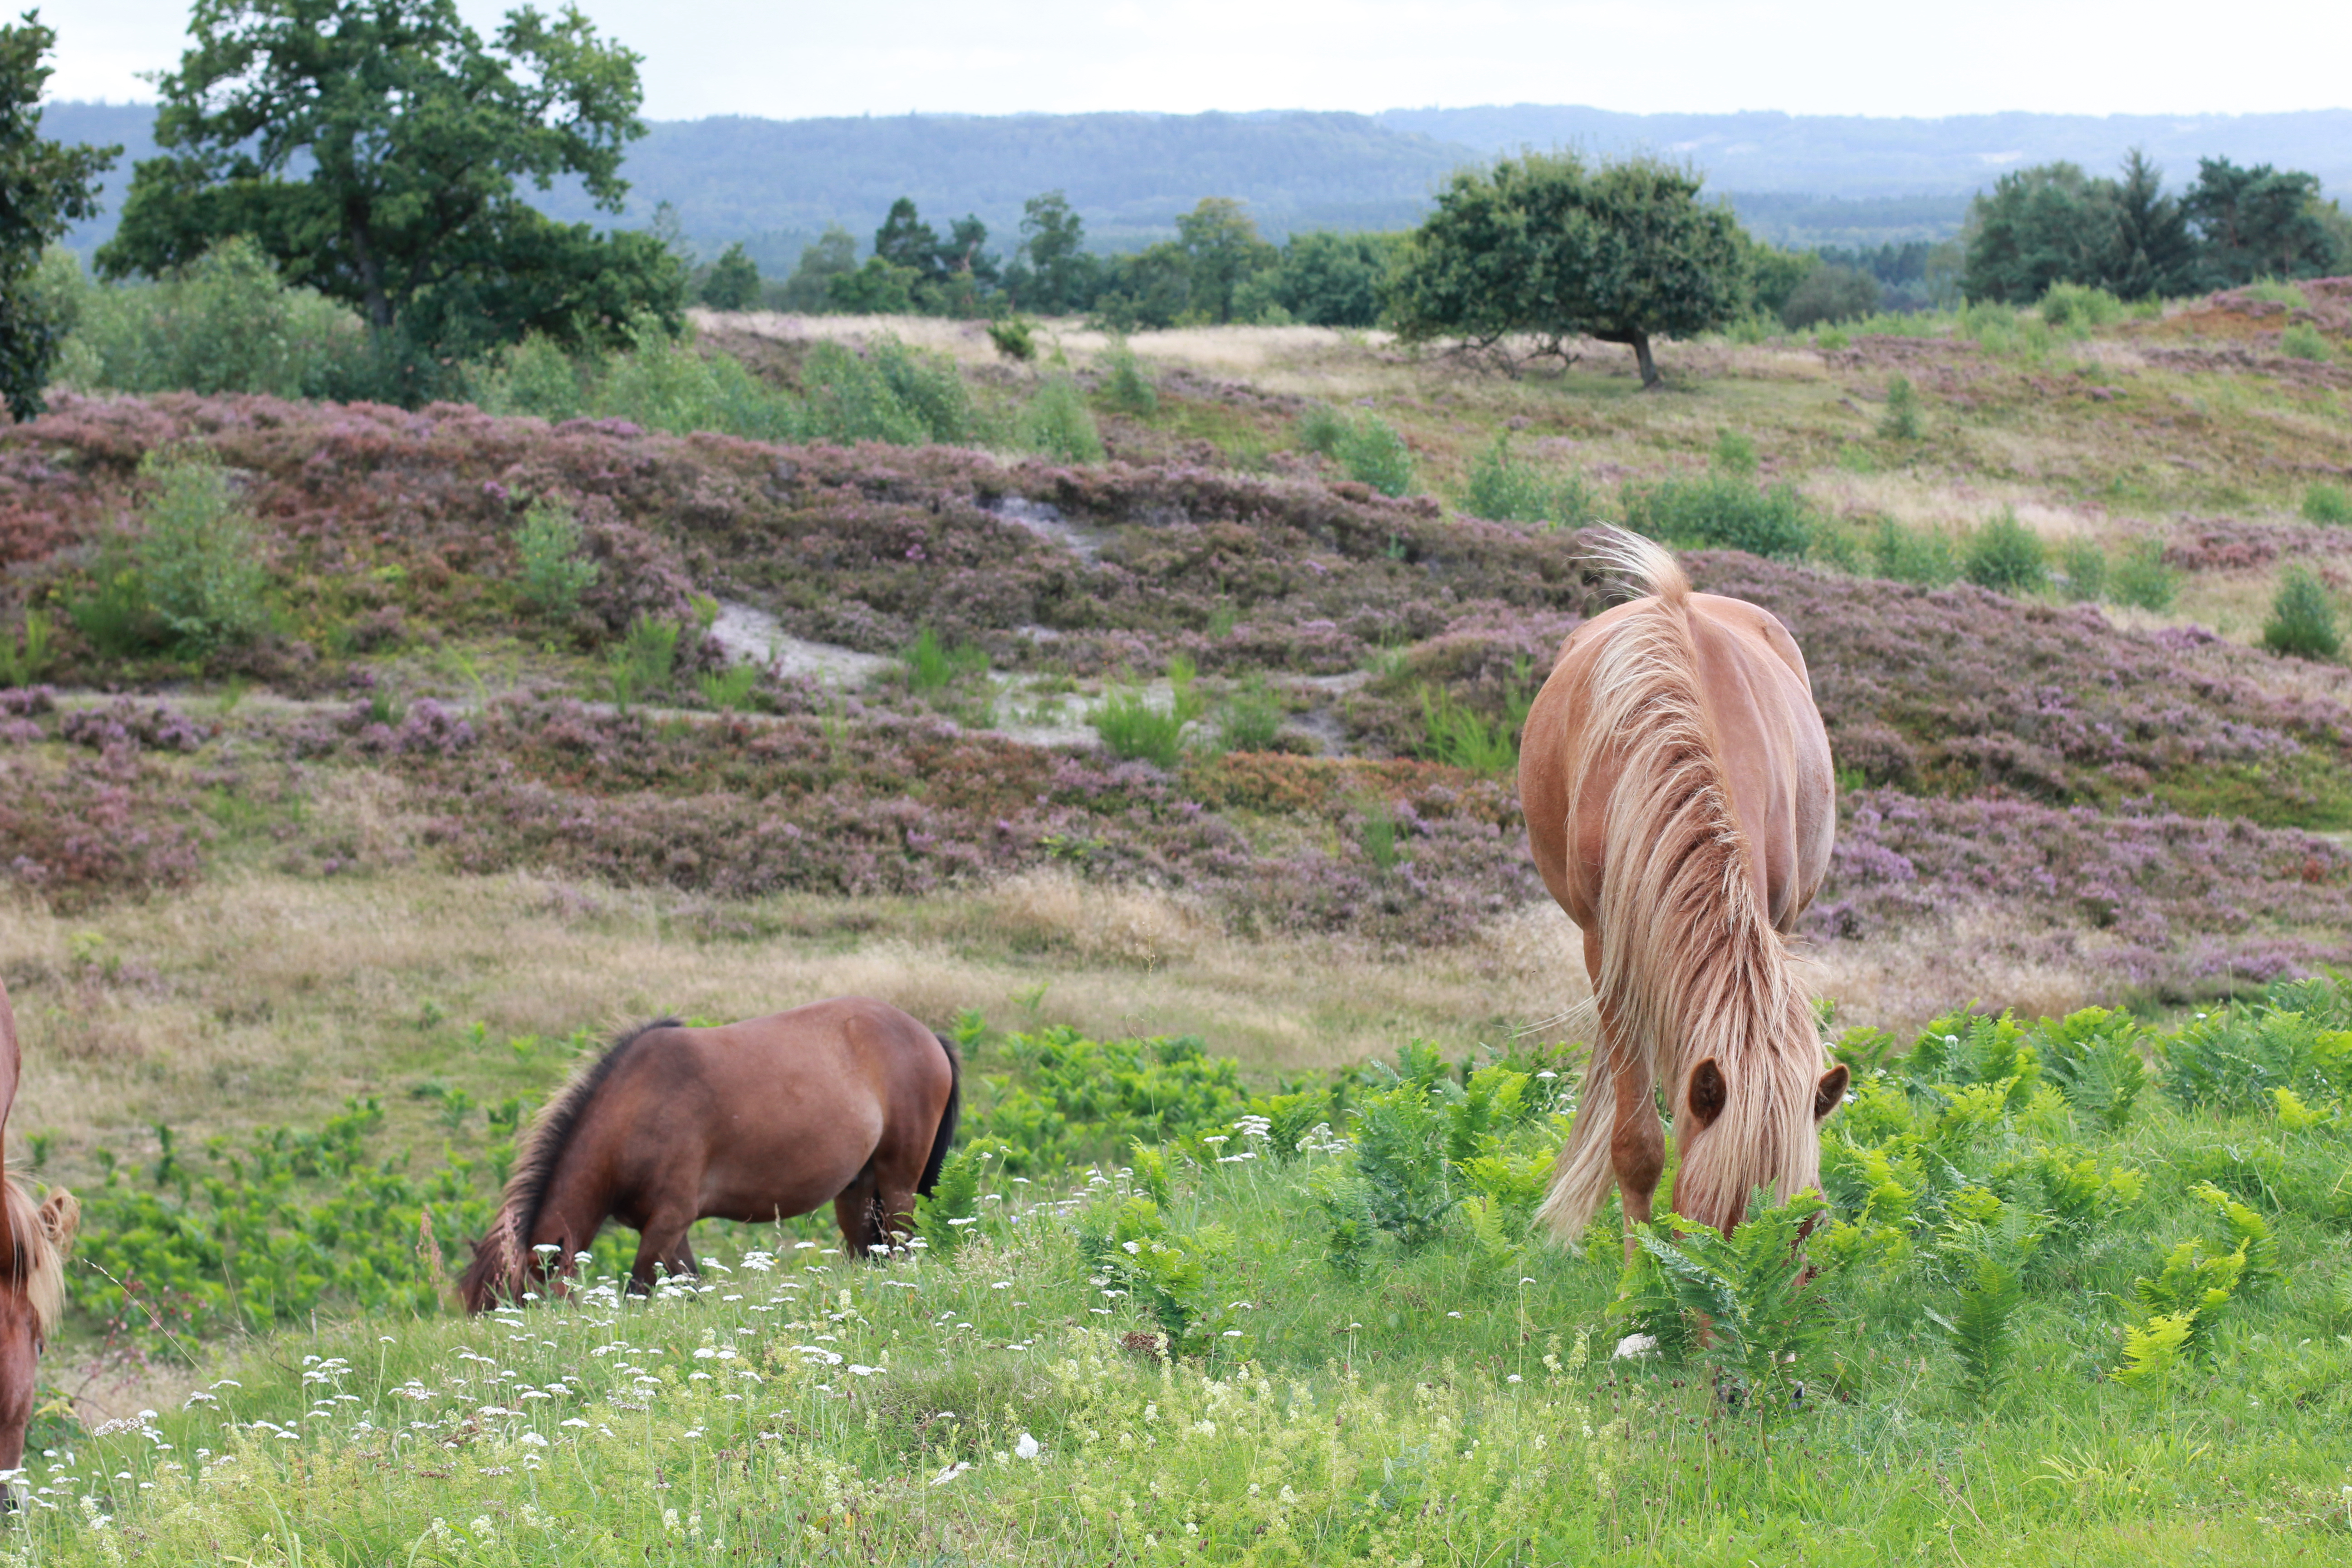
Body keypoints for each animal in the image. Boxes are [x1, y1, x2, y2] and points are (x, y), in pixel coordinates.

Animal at [458, 992, 955, 1316]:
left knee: (901, 1242)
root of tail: (927, 1034)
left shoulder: (667, 1221)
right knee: (869, 1252)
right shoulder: (668, 1230)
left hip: (898, 1181)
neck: (637, 1110)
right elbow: (693, 1286)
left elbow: (638, 1292)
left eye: (527, 1307)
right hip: (855, 1191)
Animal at [1524, 531, 1853, 1250]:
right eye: (1702, 1221)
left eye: (1809, 1227)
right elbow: (1639, 1145)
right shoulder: (1608, 951)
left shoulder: (1772, 923)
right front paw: (1638, 1270)